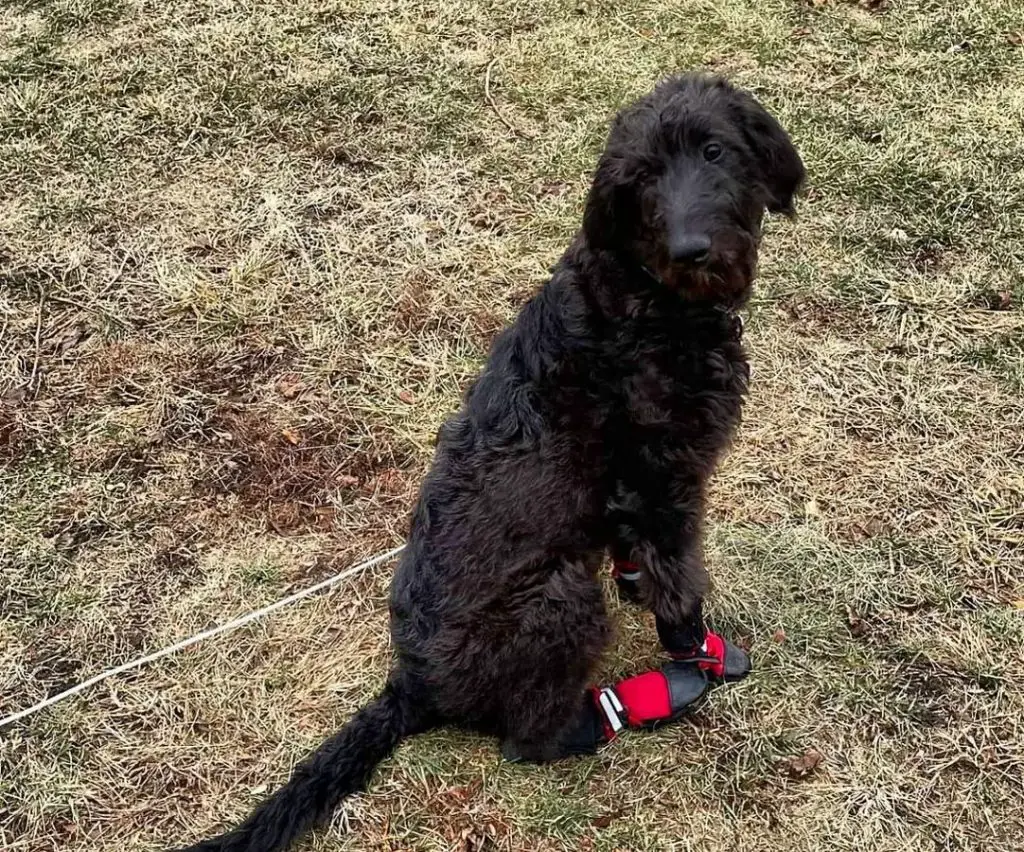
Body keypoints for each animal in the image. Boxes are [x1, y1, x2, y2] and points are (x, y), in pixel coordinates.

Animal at [182, 73, 806, 852]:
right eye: (640, 180)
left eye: (714, 150)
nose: (691, 250)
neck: (645, 297)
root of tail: (413, 684)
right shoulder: (666, 481)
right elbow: (680, 585)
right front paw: (700, 654)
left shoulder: (636, 496)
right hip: (557, 598)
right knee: (526, 740)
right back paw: (627, 708)